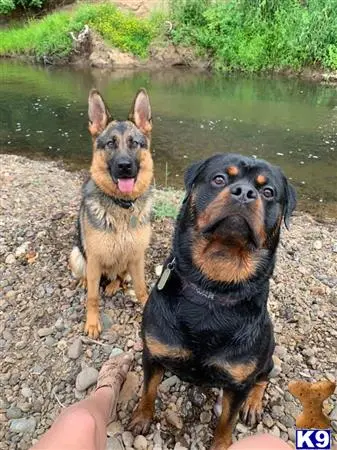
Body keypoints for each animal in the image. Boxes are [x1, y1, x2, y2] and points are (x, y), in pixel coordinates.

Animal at [70, 87, 153, 338]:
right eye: (110, 144)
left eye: (134, 143)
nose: (125, 166)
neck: (121, 206)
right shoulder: (95, 260)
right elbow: (93, 298)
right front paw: (92, 322)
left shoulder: (137, 258)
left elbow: (141, 288)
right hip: (77, 255)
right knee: (88, 276)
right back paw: (86, 282)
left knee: (119, 275)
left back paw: (115, 285)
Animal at [129, 154, 294, 450]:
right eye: (219, 179)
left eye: (268, 192)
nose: (244, 192)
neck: (213, 288)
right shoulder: (153, 353)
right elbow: (148, 390)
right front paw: (141, 417)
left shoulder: (238, 383)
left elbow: (227, 420)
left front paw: (222, 443)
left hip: (267, 353)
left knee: (263, 377)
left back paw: (253, 404)